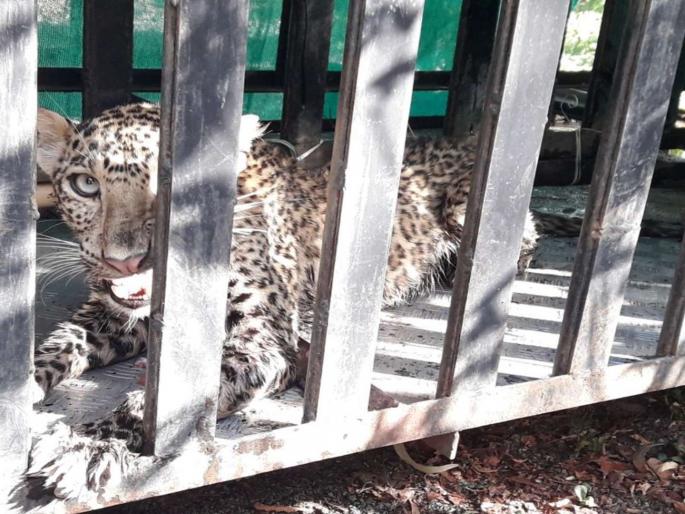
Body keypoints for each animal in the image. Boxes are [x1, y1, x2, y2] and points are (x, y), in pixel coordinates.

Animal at [26, 102, 542, 500]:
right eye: (86, 185)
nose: (125, 261)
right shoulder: (109, 316)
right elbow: (55, 347)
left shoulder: (266, 340)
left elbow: (160, 405)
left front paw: (86, 446)